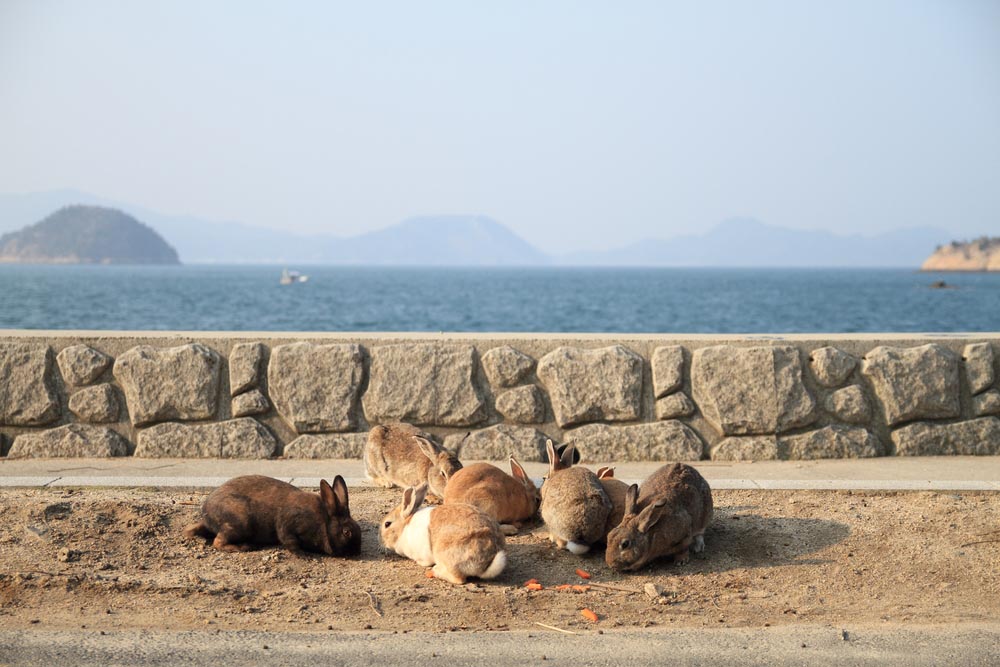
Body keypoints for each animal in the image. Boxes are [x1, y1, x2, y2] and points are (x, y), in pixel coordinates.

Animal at [185, 474, 364, 560]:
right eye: (346, 532)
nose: (357, 552)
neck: (324, 521)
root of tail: (206, 515)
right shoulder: (287, 523)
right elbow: (289, 540)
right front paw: (304, 555)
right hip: (241, 522)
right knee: (217, 542)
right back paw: (243, 547)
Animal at [380, 486, 512, 584]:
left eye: (387, 524)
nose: (382, 543)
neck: (404, 528)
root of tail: (487, 562)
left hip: (446, 554)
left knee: (459, 579)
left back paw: (434, 572)